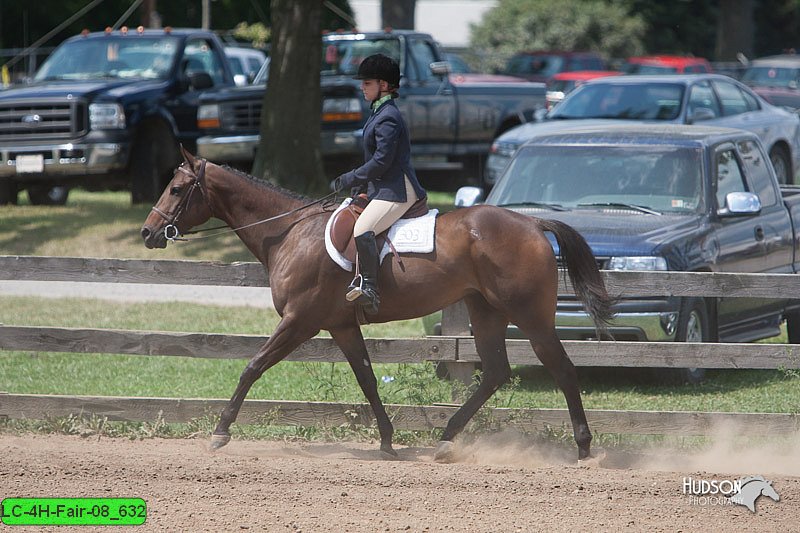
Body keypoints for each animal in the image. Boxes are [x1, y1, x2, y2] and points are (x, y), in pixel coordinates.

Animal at [139, 151, 612, 462]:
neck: (290, 232)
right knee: (496, 372)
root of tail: (532, 221)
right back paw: (446, 438)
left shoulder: (300, 321)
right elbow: (366, 379)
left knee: (562, 368)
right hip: (485, 310)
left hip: (529, 314)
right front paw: (386, 440)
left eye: (177, 188)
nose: (147, 232)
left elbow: (252, 367)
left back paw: (583, 446)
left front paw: (221, 431)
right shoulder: (342, 326)